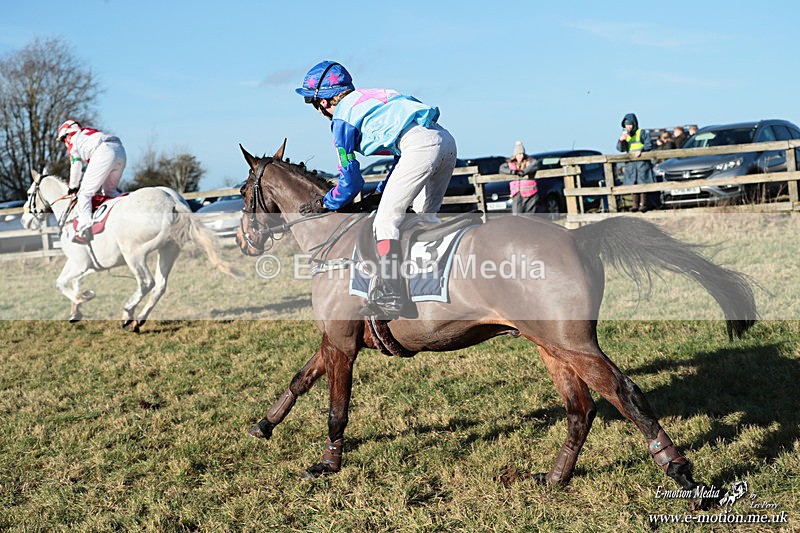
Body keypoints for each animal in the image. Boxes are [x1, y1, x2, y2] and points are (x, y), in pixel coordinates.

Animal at [22, 170, 241, 332]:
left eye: (29, 193)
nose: (25, 221)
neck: (70, 213)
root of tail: (171, 201)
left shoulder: (80, 263)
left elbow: (60, 283)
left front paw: (81, 298)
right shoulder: (89, 265)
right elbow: (74, 282)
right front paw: (77, 308)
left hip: (134, 254)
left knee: (147, 282)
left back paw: (128, 315)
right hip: (168, 250)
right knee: (160, 286)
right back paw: (139, 319)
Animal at [235, 141, 757, 497]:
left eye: (242, 191)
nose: (244, 241)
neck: (333, 239)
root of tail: (576, 237)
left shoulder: (343, 345)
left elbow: (336, 409)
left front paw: (328, 464)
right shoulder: (334, 341)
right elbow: (300, 379)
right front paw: (263, 425)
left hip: (573, 343)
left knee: (624, 393)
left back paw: (680, 471)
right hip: (551, 344)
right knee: (581, 410)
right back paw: (555, 477)